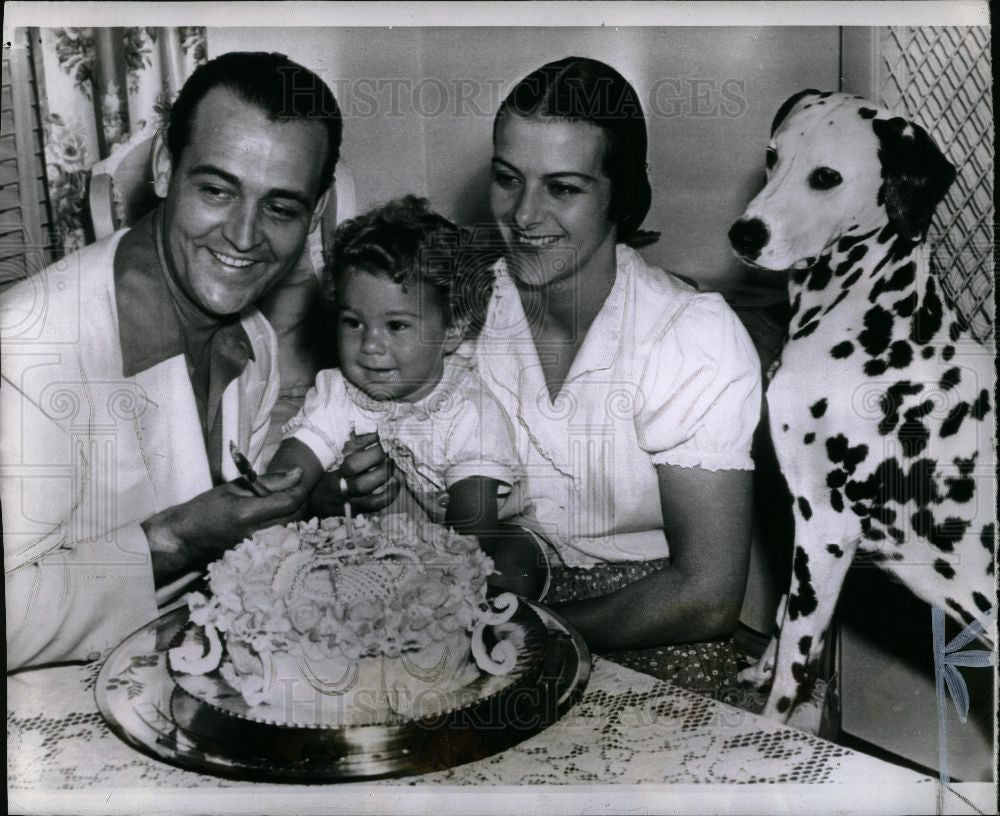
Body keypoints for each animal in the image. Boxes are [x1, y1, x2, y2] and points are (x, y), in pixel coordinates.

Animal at [732, 91, 996, 728]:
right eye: (772, 156)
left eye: (826, 177)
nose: (744, 234)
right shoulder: (812, 533)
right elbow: (783, 616)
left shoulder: (824, 529)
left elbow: (795, 655)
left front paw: (770, 723)